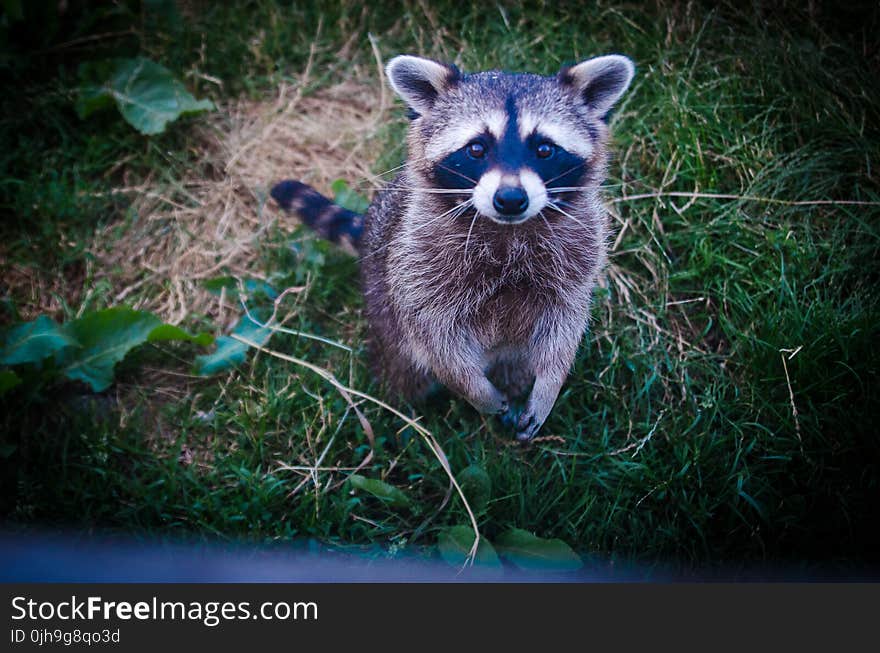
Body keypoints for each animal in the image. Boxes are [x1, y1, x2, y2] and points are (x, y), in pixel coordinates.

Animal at [272, 52, 636, 438]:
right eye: (476, 148)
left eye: (544, 149)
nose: (511, 199)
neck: (506, 230)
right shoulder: (417, 263)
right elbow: (435, 339)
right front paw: (474, 390)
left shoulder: (578, 255)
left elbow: (565, 327)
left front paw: (549, 385)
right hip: (381, 300)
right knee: (403, 369)